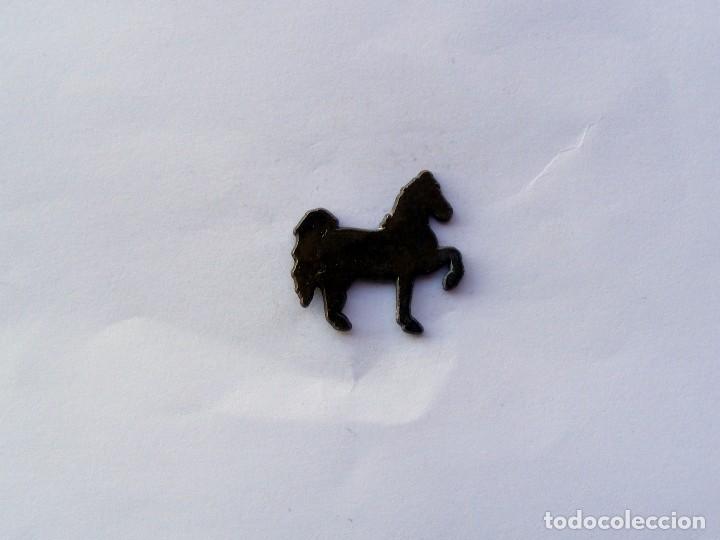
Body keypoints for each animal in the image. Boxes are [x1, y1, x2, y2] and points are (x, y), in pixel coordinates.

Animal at [291, 170, 464, 334]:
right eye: (435, 189)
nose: (449, 213)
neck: (408, 229)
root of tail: (325, 236)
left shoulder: (421, 265)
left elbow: (453, 252)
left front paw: (449, 281)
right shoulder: (415, 268)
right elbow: (405, 297)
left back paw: (342, 322)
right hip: (337, 279)